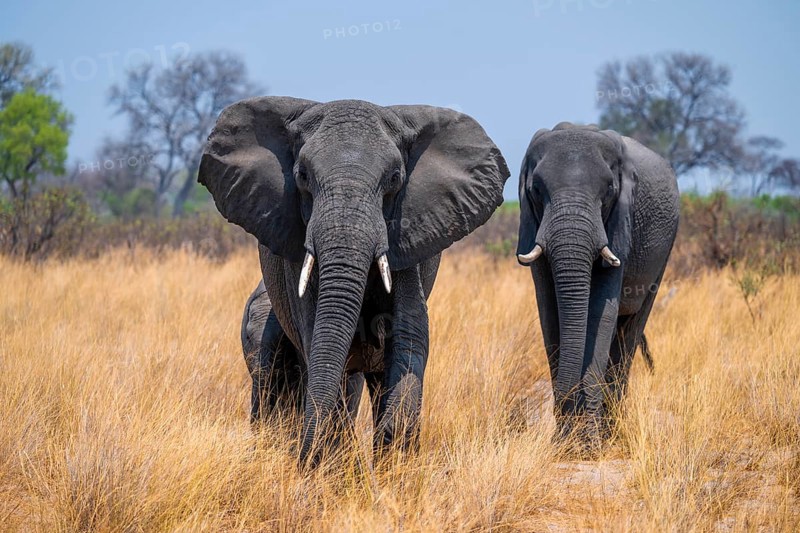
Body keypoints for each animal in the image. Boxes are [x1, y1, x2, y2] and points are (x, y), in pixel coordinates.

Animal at [200, 97, 509, 465]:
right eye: (302, 176)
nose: (303, 463)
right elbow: (319, 341)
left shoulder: (407, 236)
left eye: (394, 178)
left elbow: (409, 337)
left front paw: (392, 464)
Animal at [515, 122, 679, 446]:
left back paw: (612, 432)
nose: (565, 418)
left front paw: (589, 445)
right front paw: (564, 443)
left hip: (666, 249)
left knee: (629, 332)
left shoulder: (620, 224)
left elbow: (600, 313)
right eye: (536, 190)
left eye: (609, 191)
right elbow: (550, 312)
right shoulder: (532, 223)